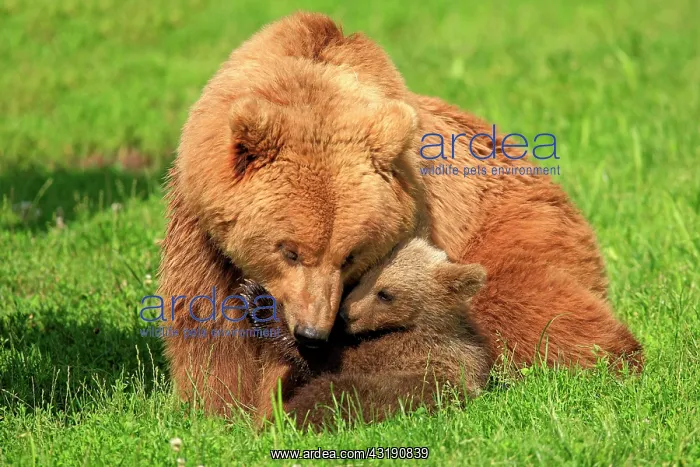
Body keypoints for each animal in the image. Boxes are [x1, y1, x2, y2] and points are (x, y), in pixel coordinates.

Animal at [239, 237, 491, 428]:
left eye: (385, 294)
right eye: (363, 277)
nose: (344, 315)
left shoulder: (409, 350)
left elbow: (336, 360)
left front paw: (260, 302)